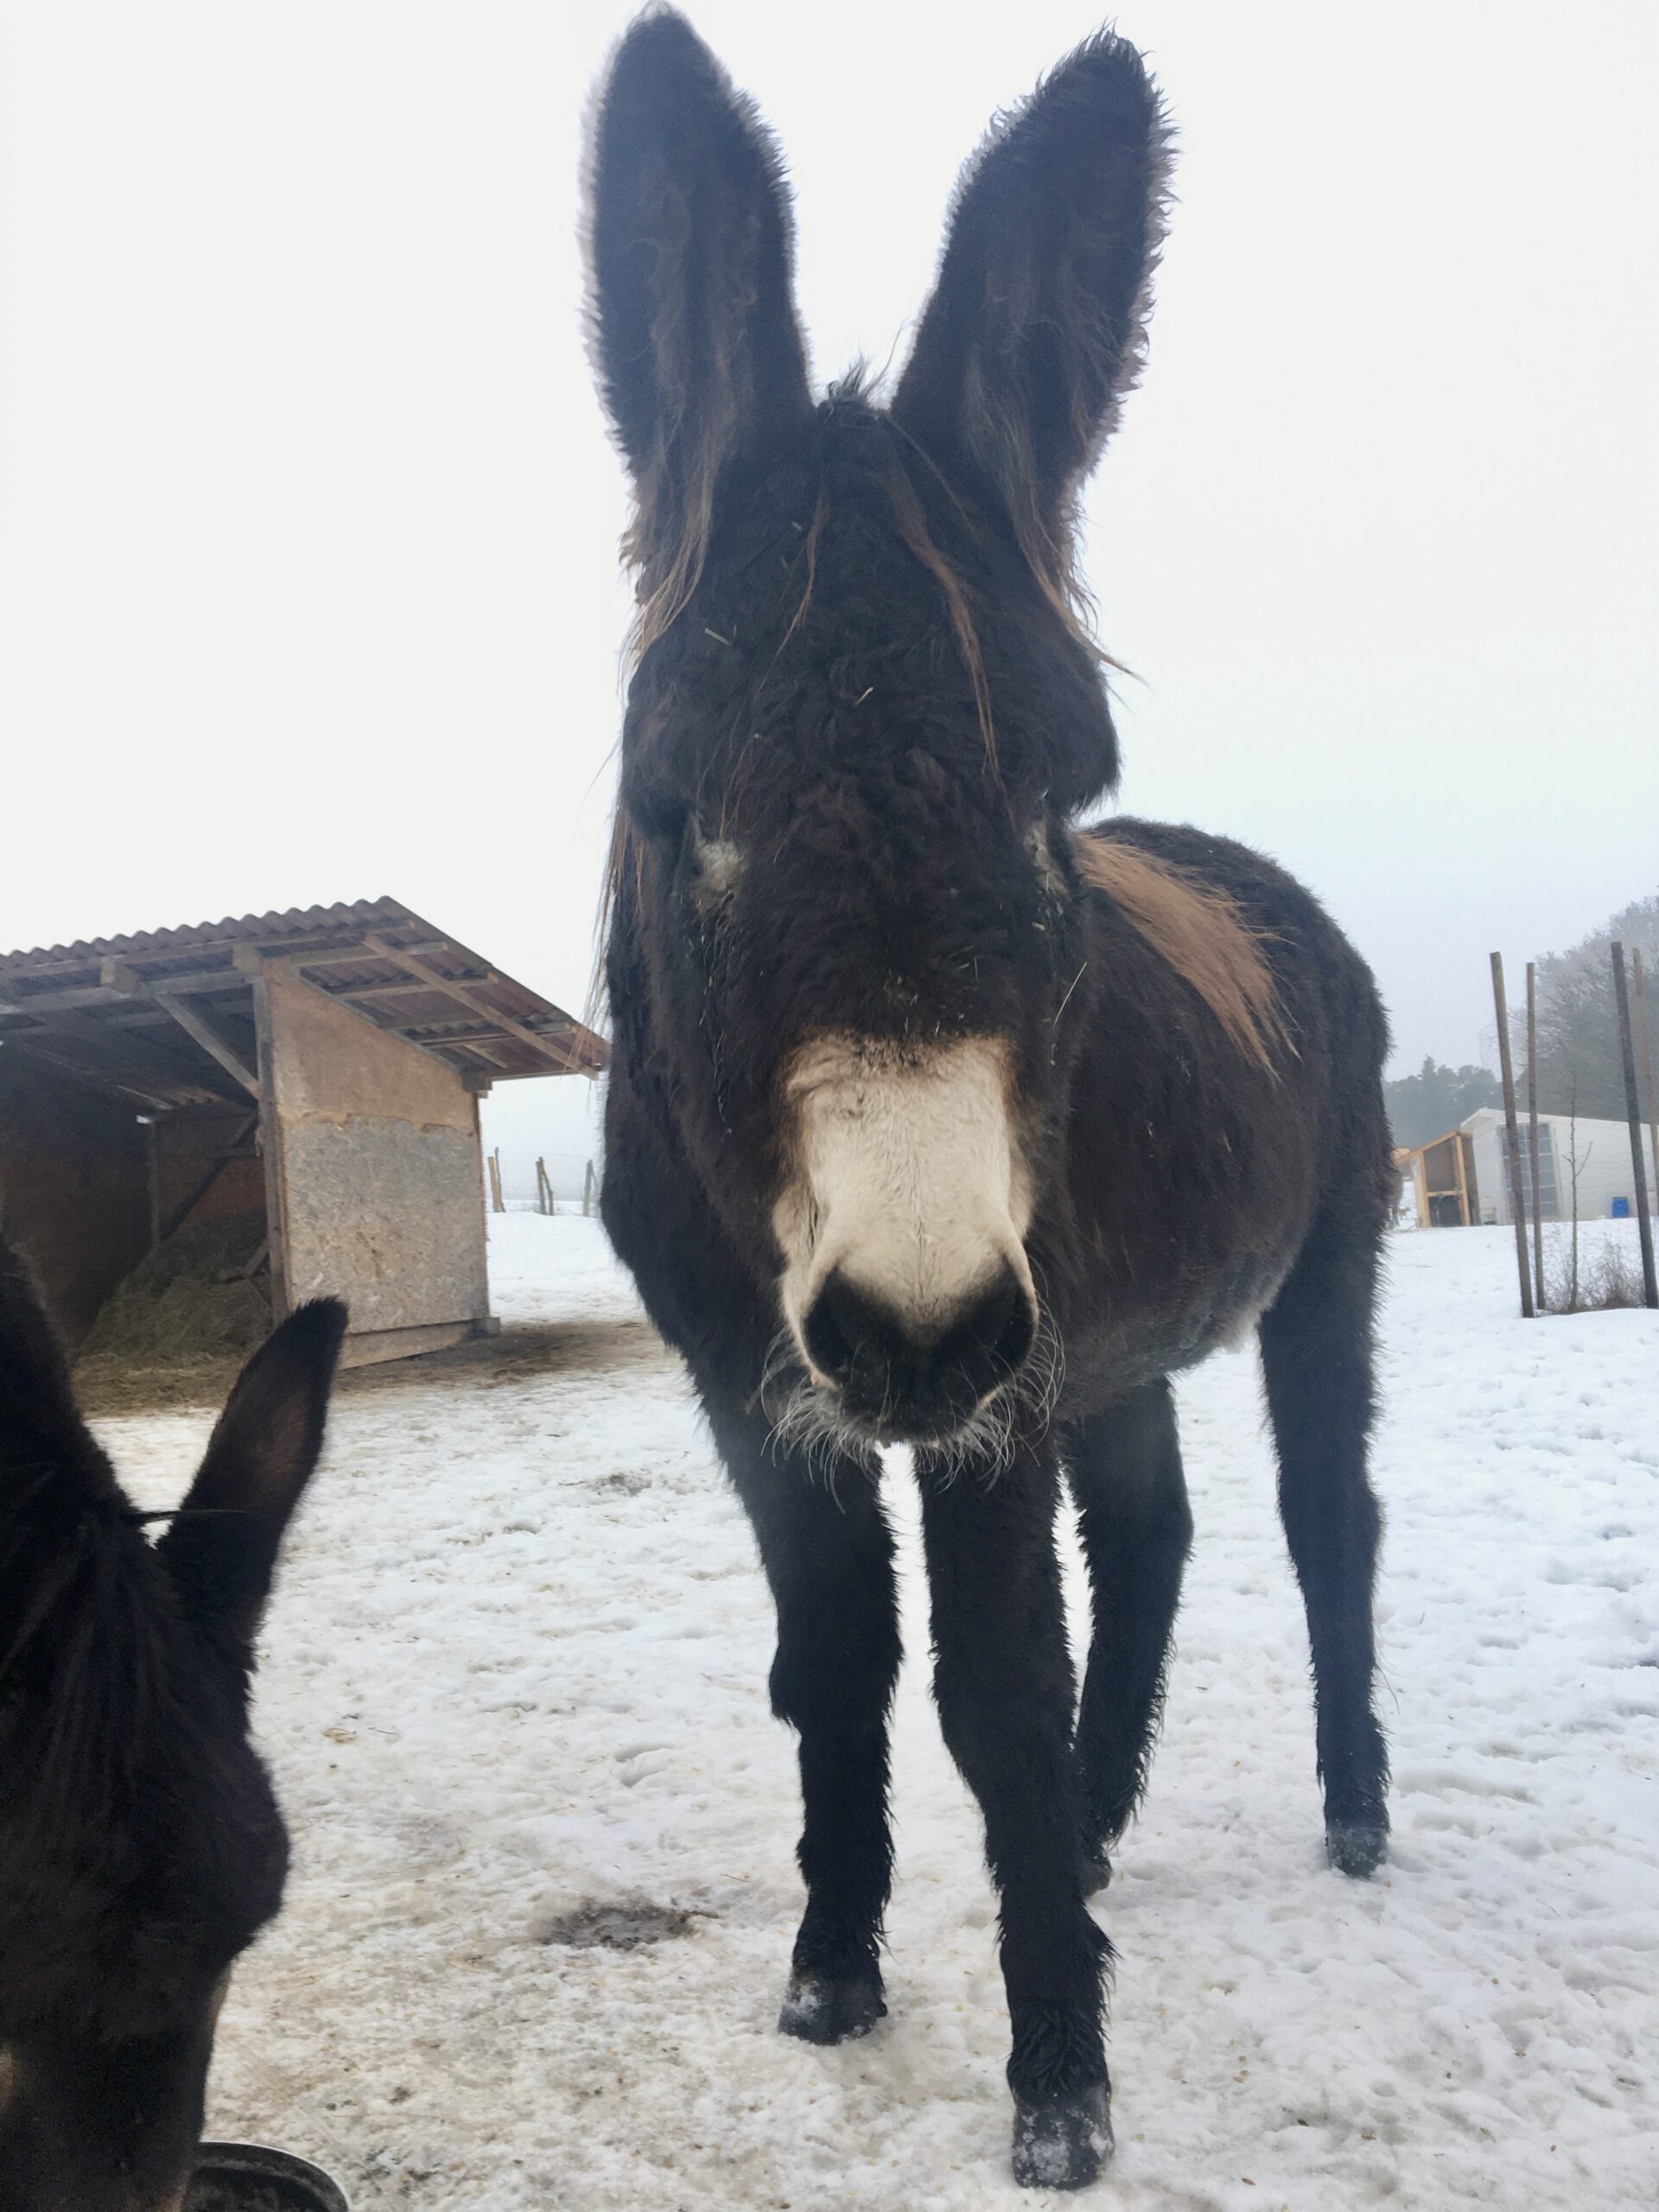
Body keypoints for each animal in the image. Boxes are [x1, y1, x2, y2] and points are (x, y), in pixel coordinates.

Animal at [585, 14, 1392, 2189]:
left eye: (1056, 799)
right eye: (683, 806)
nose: (915, 1320)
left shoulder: (986, 1390)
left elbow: (995, 1688)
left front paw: (1059, 2088)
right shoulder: (755, 1378)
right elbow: (839, 1663)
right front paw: (831, 1970)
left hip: (1311, 1264)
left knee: (1323, 1510)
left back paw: (1351, 1806)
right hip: (1093, 1340)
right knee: (1161, 1530)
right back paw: (1102, 1835)